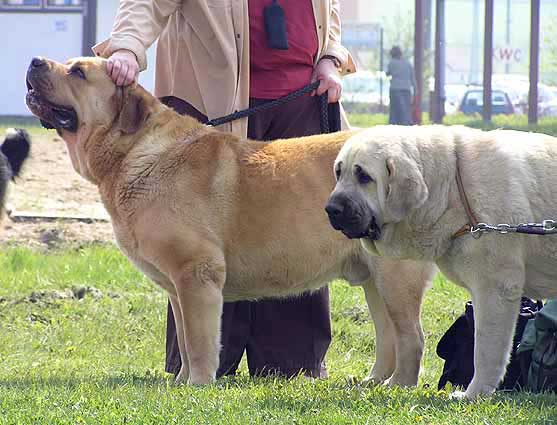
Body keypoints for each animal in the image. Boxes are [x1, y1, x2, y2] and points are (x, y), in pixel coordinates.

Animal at [25, 55, 434, 384]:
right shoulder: (178, 287)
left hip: (395, 277)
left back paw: (397, 387)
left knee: (411, 338)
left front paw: (198, 385)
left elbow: (199, 340)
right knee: (389, 336)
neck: (135, 151)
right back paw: (373, 382)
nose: (35, 60)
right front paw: (181, 382)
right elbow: (184, 340)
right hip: (375, 280)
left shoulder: (196, 273)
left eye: (78, 72)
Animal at [328, 122, 557, 398]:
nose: (331, 209)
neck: (452, 186)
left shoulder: (495, 291)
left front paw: (474, 394)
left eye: (363, 176)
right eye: (339, 172)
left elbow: (486, 352)